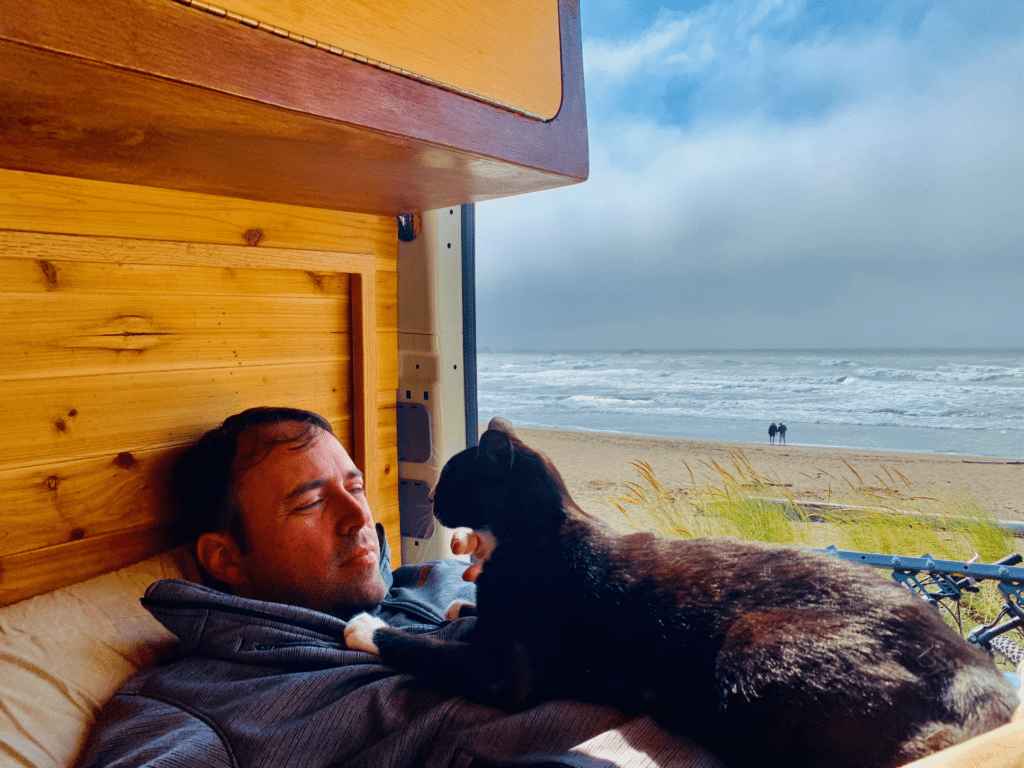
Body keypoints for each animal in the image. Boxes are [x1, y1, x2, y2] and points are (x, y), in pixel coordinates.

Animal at [348, 421, 1019, 768]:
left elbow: (423, 647)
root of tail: (968, 665)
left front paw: (366, 627)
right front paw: (457, 605)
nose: (431, 499)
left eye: (451, 478)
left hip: (755, 638)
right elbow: (461, 619)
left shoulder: (505, 673)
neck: (534, 532)